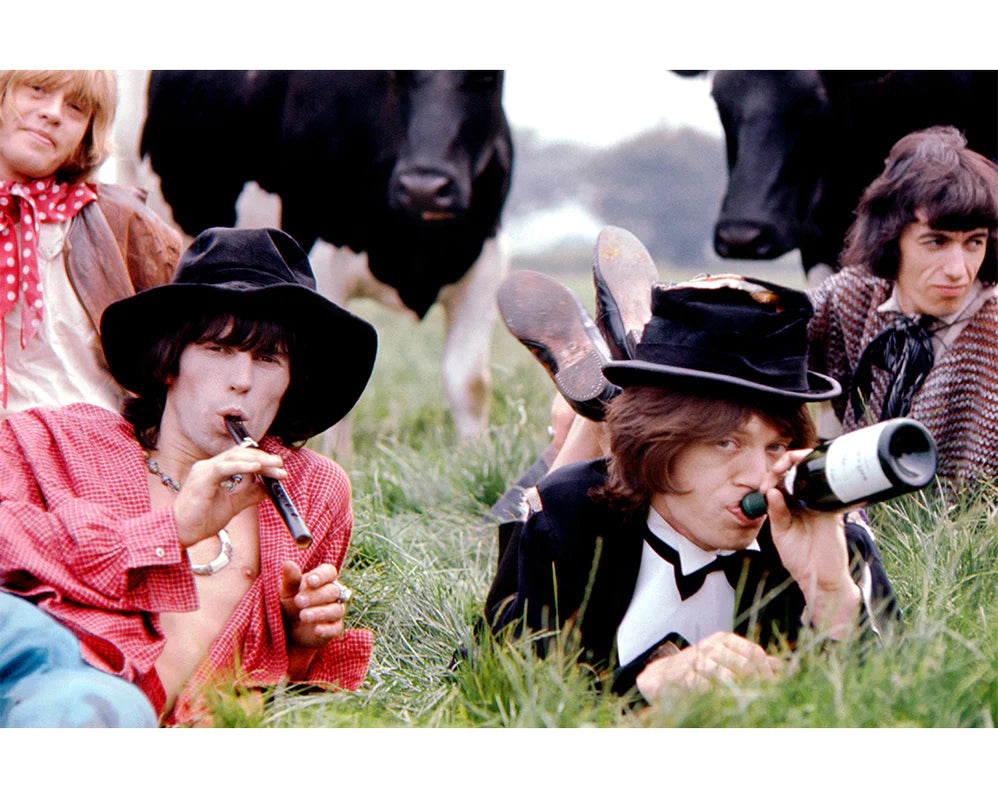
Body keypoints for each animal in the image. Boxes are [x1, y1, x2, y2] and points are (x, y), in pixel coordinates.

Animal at [139, 70, 516, 444]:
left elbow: (469, 382)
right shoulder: (317, 259)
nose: (423, 189)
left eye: (486, 78)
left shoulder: (487, 261)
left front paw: (474, 451)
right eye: (395, 75)